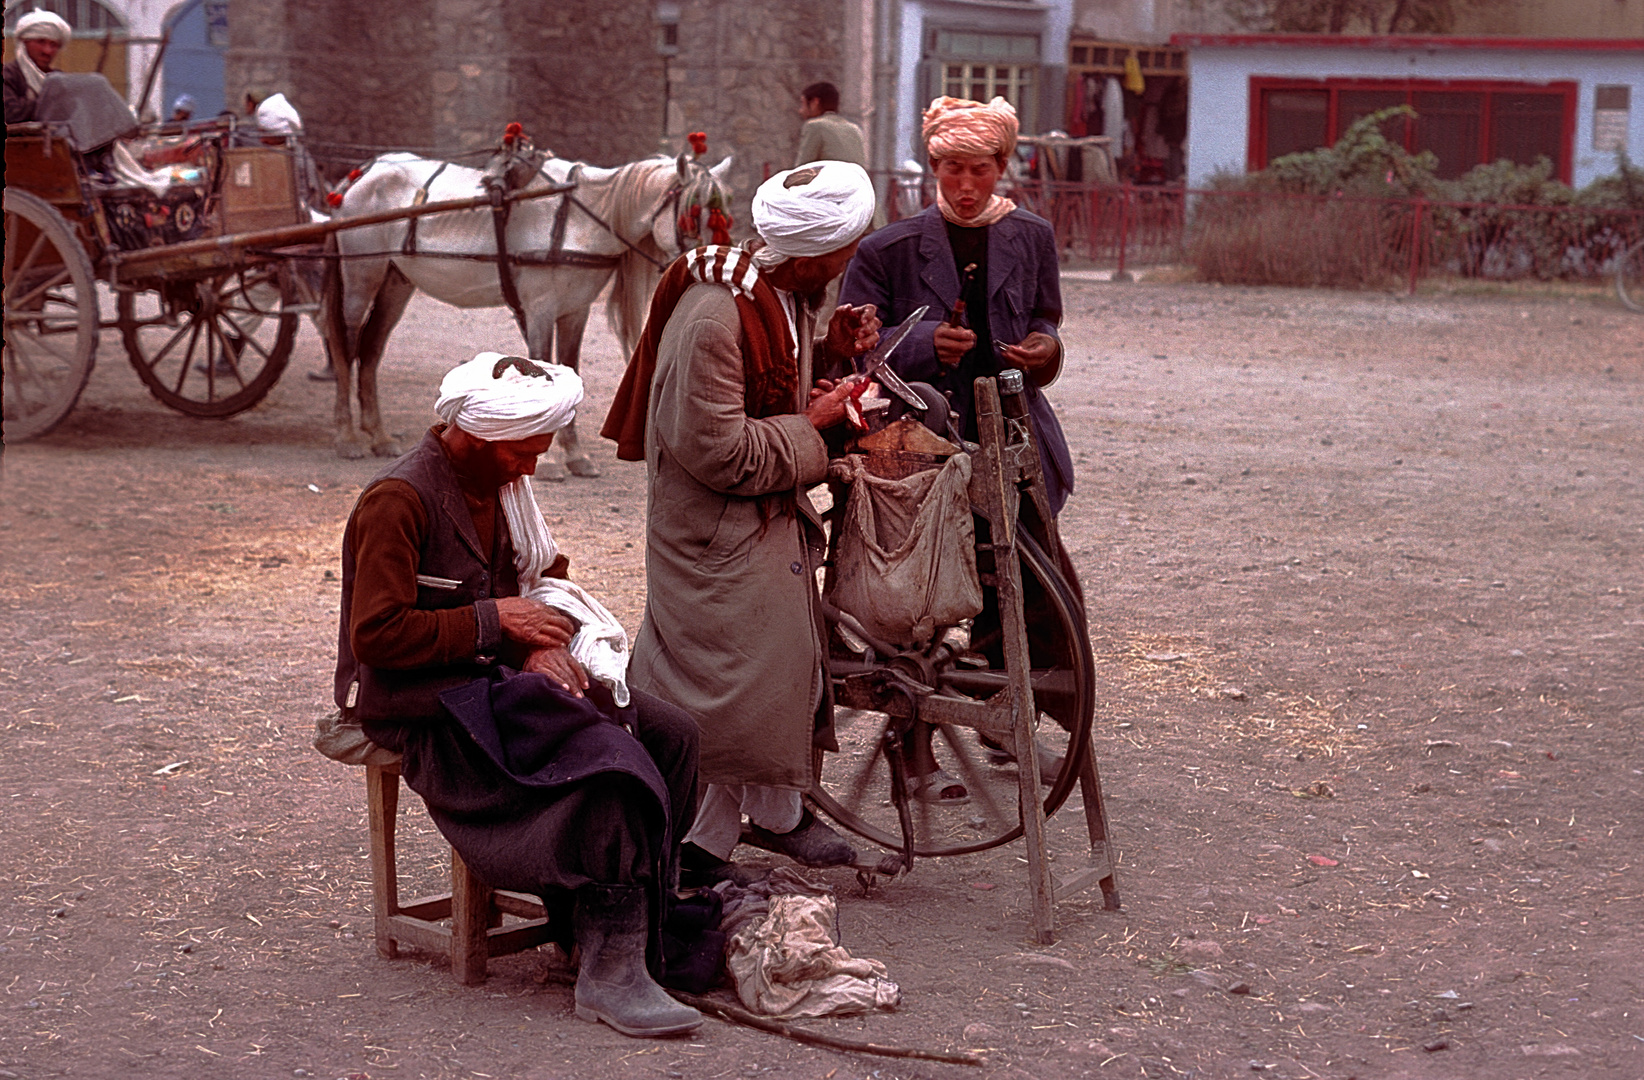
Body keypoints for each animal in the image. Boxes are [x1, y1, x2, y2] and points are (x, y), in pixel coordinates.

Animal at [320, 149, 733, 470]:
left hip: (395, 282)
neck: (579, 216)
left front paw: (574, 454)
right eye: (693, 213)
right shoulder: (539, 309)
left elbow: (570, 366)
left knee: (371, 349)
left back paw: (378, 435)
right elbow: (541, 365)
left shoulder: (574, 310)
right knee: (346, 346)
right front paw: (550, 459)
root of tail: (362, 175)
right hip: (361, 275)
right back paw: (347, 435)